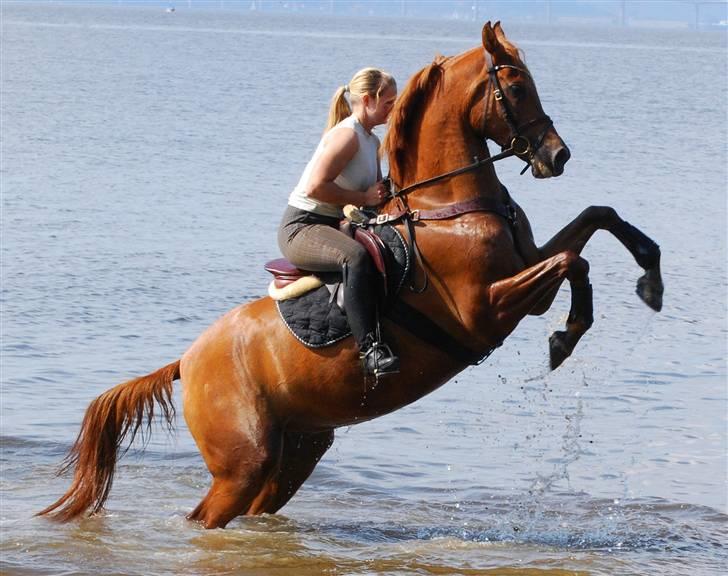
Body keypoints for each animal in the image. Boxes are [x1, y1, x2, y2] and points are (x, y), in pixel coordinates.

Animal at [39, 22, 664, 528]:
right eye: (515, 87)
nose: (557, 156)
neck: (446, 208)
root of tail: (184, 364)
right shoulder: (486, 308)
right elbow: (573, 261)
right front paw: (565, 338)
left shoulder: (525, 277)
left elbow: (597, 219)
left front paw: (651, 278)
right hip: (243, 462)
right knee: (205, 518)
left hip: (296, 450)